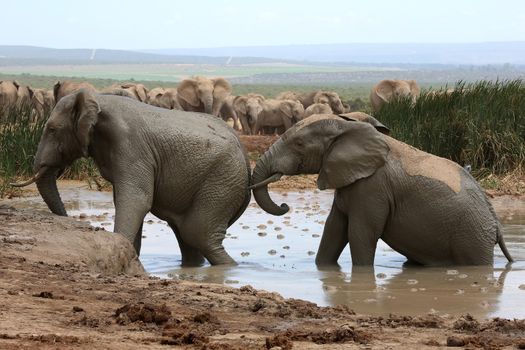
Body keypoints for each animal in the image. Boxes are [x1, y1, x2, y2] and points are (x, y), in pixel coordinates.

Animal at [11, 89, 250, 266]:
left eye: (52, 130)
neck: (98, 100)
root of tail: (245, 156)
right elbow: (125, 201)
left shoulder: (131, 147)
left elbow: (135, 201)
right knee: (188, 238)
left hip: (223, 179)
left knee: (197, 233)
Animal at [250, 114, 512, 266]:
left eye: (299, 144)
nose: (285, 205)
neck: (348, 126)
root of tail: (496, 224)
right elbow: (334, 228)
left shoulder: (373, 187)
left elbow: (360, 233)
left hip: (472, 236)